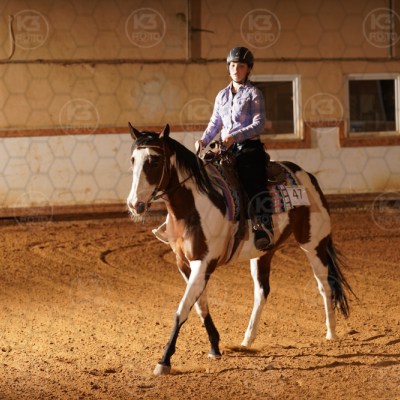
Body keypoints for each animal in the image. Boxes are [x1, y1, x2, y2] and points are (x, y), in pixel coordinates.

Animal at [126, 123, 353, 376]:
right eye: (133, 159)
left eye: (155, 161)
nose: (134, 204)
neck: (193, 206)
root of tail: (307, 176)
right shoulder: (184, 264)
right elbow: (199, 305)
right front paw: (215, 347)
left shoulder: (203, 263)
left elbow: (182, 309)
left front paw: (164, 360)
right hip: (263, 253)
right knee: (262, 292)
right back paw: (248, 339)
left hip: (314, 244)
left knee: (325, 286)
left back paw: (331, 333)